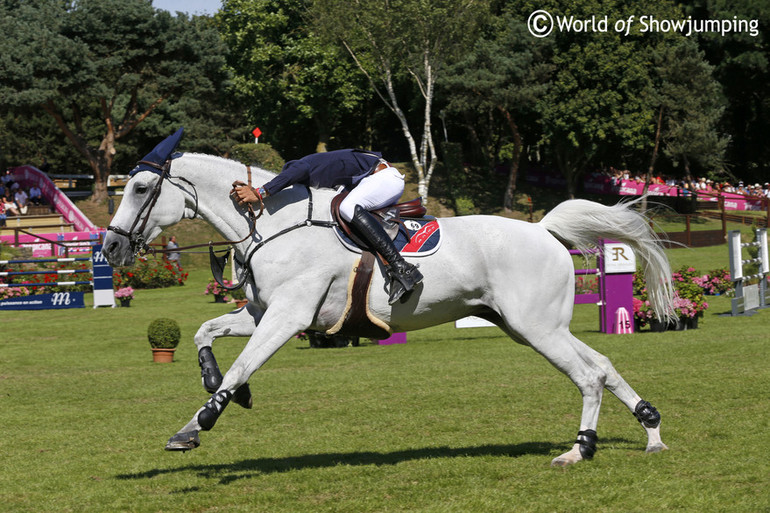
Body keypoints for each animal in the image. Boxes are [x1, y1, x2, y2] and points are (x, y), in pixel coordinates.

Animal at [103, 152, 672, 464]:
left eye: (140, 187)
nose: (109, 248)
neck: (272, 223)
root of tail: (544, 230)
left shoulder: (288, 317)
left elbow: (241, 366)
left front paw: (197, 424)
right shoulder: (263, 314)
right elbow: (206, 333)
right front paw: (225, 390)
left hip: (537, 329)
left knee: (588, 376)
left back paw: (580, 448)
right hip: (529, 325)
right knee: (603, 365)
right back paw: (651, 431)